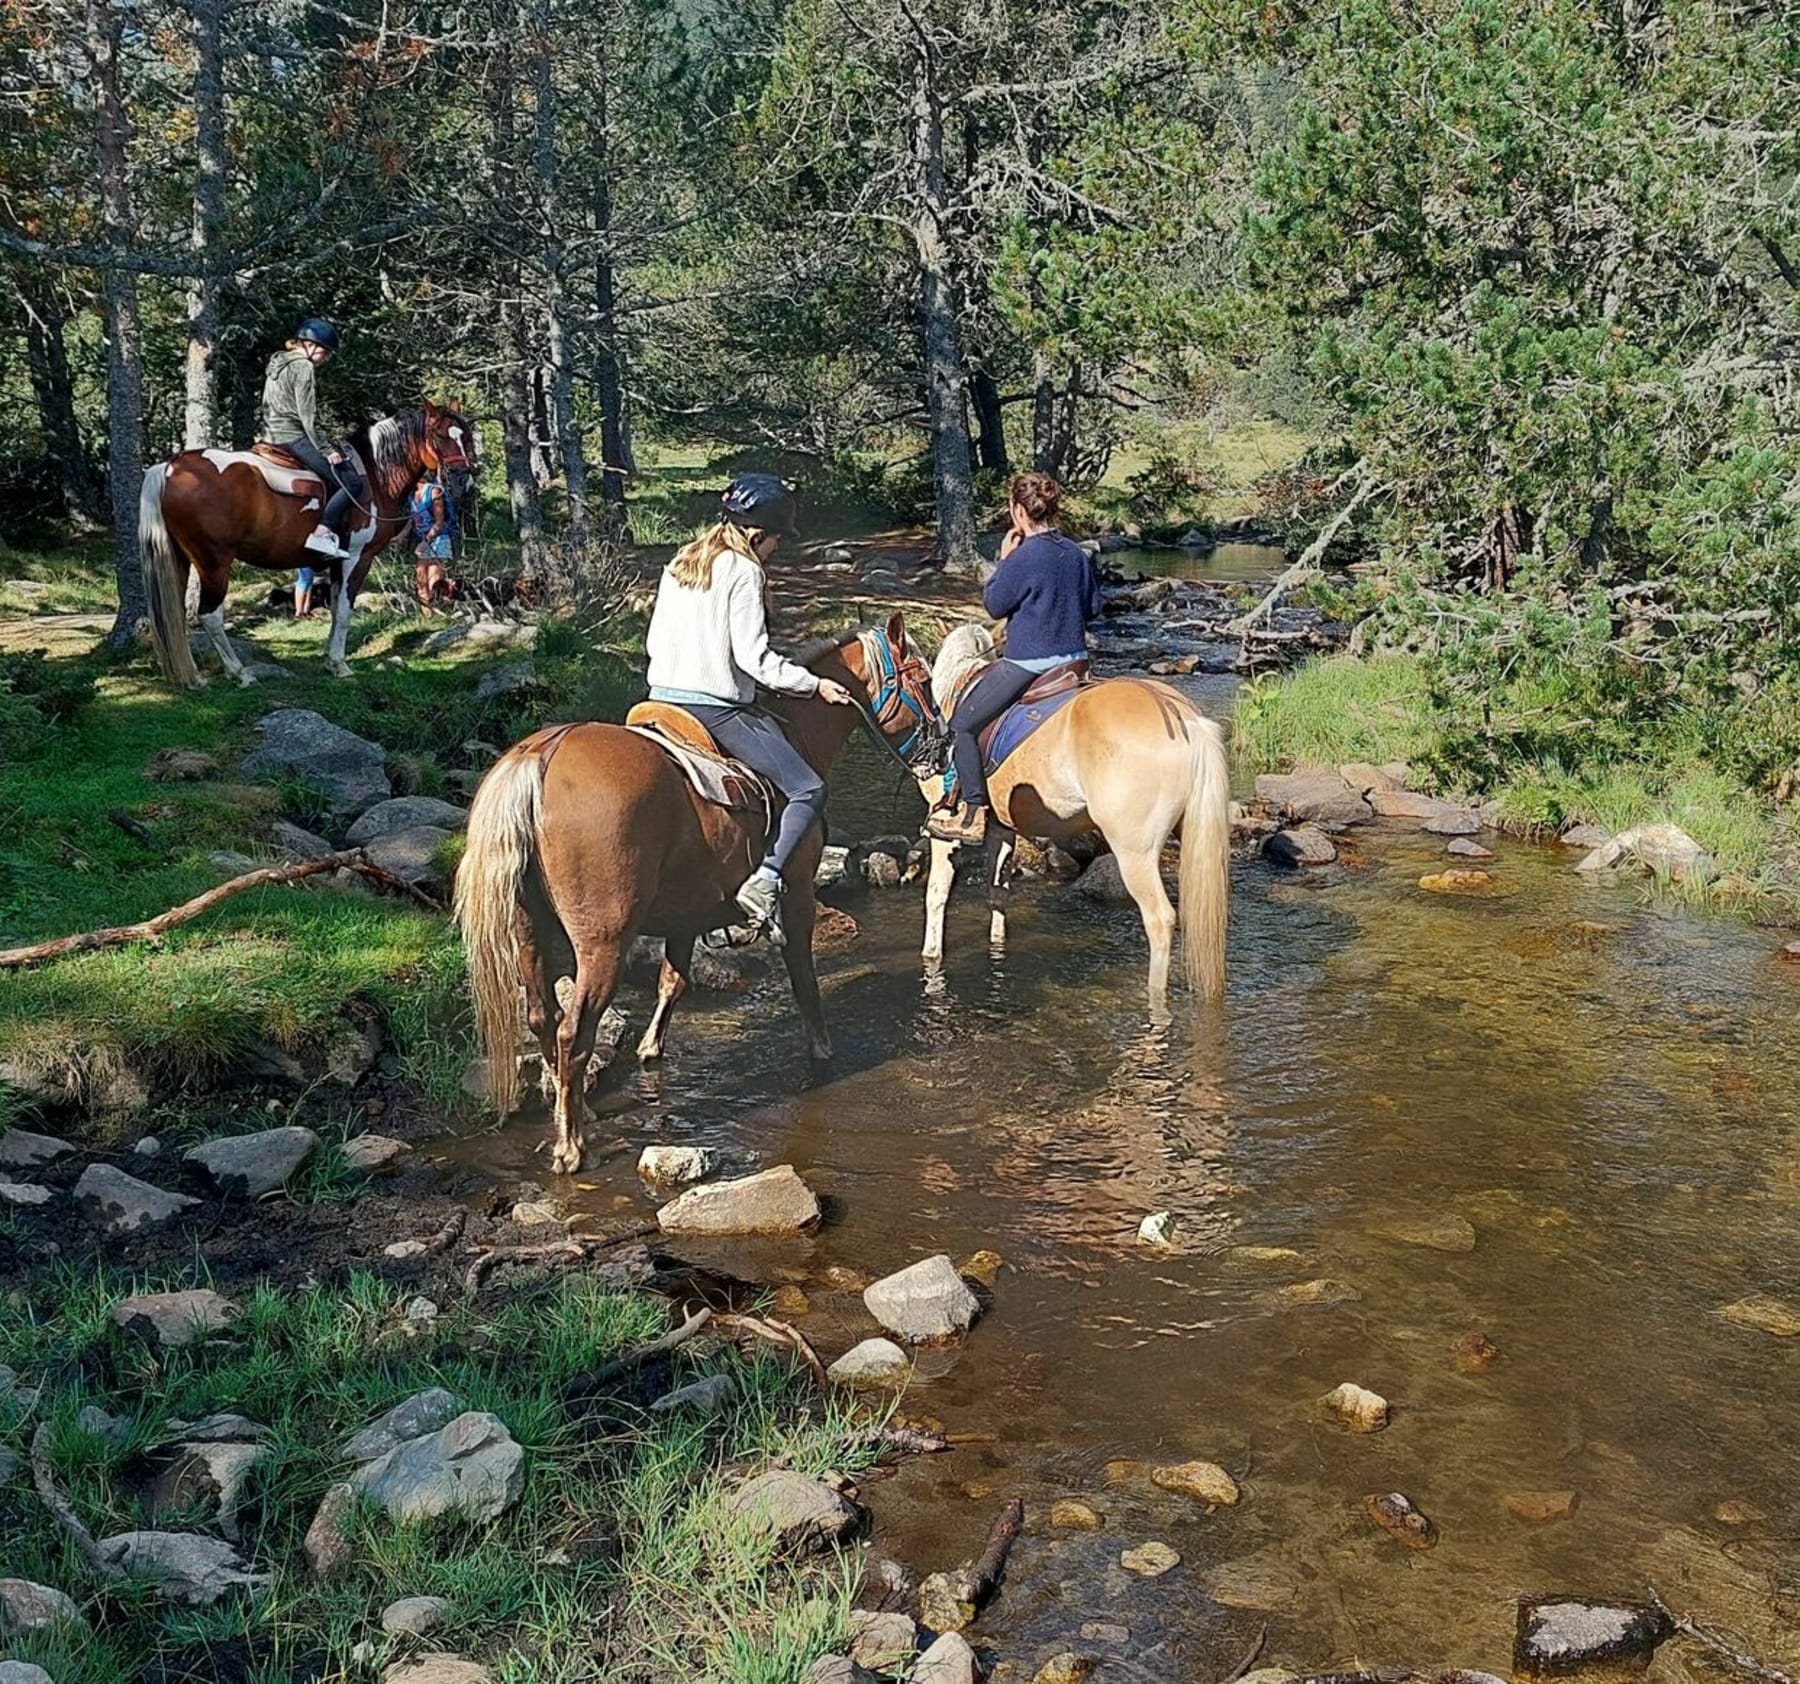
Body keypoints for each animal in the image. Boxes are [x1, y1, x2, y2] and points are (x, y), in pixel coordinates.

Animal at [453, 611, 943, 1180]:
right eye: (923, 679)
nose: (943, 747)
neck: (797, 733)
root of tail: (541, 755)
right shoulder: (798, 897)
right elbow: (805, 983)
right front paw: (823, 1055)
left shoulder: (684, 918)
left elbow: (673, 984)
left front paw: (649, 1050)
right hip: (602, 943)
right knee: (574, 1032)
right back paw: (572, 1146)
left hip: (529, 929)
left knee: (542, 1019)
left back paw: (576, 1112)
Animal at [921, 618, 1231, 1014]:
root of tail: (1185, 718)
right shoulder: (1002, 828)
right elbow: (997, 895)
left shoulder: (944, 834)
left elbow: (937, 894)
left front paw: (931, 958)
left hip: (1135, 851)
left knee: (1160, 920)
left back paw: (1154, 998)